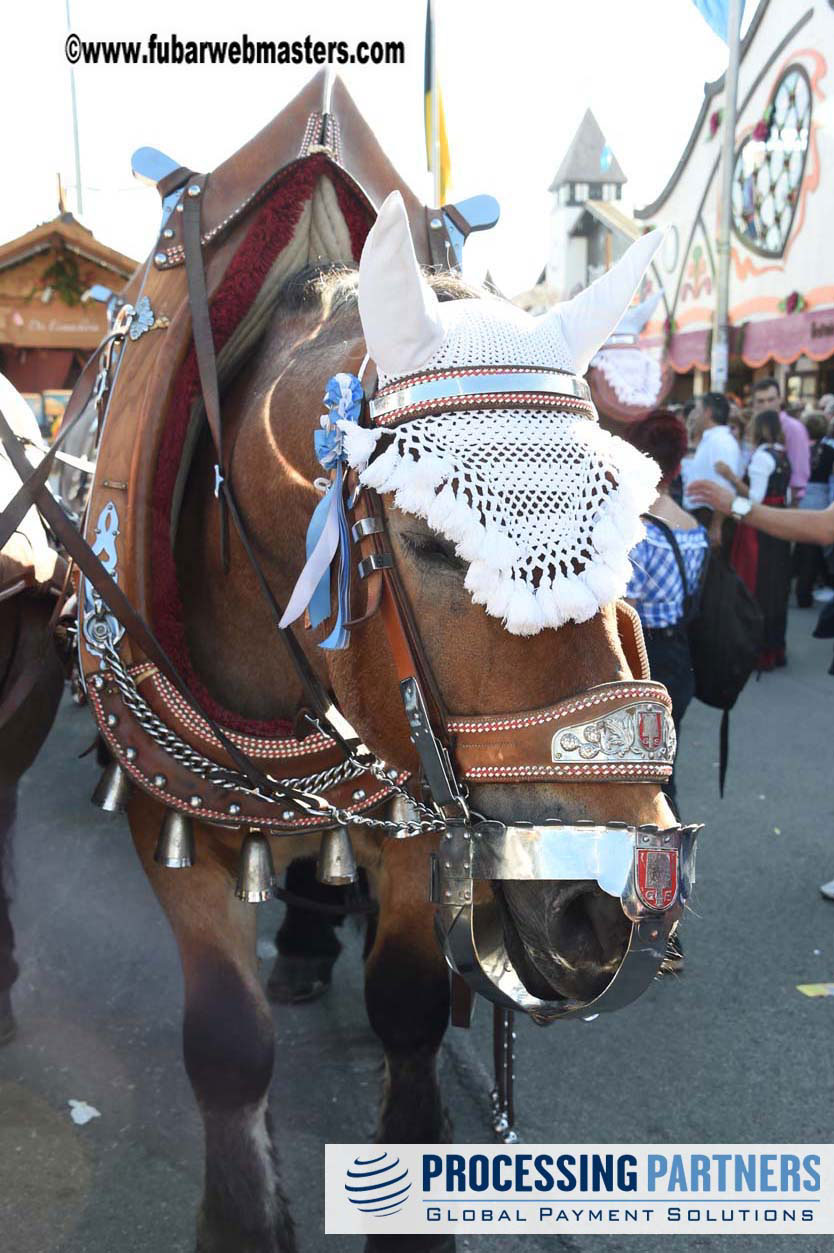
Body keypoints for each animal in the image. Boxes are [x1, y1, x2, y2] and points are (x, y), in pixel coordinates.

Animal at [107, 197, 681, 1253]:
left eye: (628, 529)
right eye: (428, 541)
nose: (613, 900)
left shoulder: (421, 819)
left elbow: (409, 1010)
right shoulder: (166, 821)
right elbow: (227, 1044)